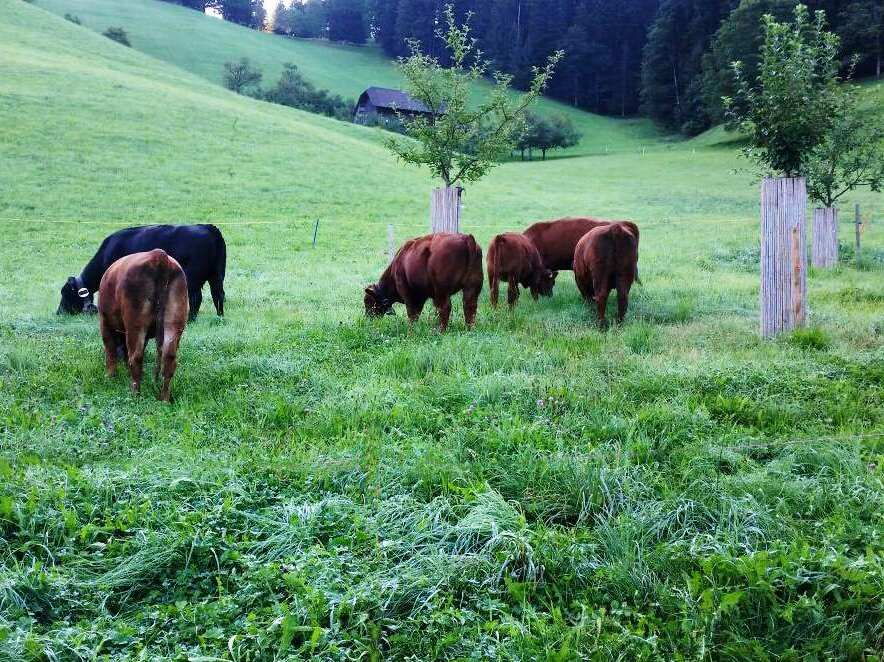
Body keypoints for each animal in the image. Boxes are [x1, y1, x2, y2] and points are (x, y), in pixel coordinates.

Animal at [57, 224, 226, 322]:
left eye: (65, 293)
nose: (59, 313)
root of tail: (209, 227)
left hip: (193, 279)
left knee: (197, 298)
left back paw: (190, 320)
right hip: (217, 276)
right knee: (218, 294)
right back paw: (220, 316)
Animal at [98, 250, 188, 402]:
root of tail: (158, 255)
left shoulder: (104, 322)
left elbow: (110, 351)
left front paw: (110, 376)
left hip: (135, 325)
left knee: (135, 357)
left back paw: (136, 394)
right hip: (174, 322)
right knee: (169, 358)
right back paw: (164, 399)